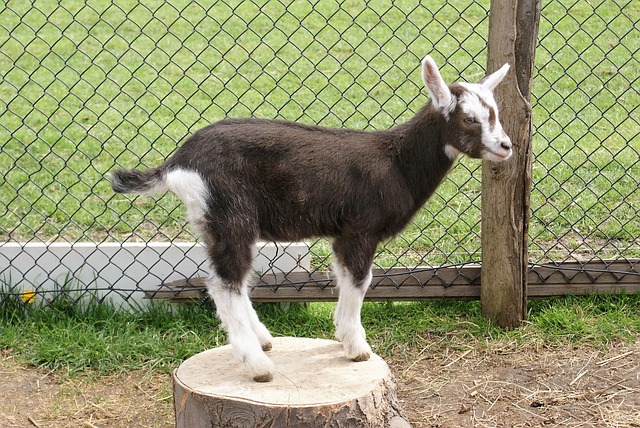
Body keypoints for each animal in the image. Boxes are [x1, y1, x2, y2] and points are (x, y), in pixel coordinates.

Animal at [111, 55, 512, 382]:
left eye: (495, 113)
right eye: (469, 119)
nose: (506, 146)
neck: (397, 162)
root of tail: (178, 163)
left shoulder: (343, 233)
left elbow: (348, 280)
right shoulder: (358, 230)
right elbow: (360, 282)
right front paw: (356, 348)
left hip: (214, 222)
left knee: (230, 281)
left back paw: (263, 341)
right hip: (230, 216)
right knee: (224, 284)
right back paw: (258, 365)